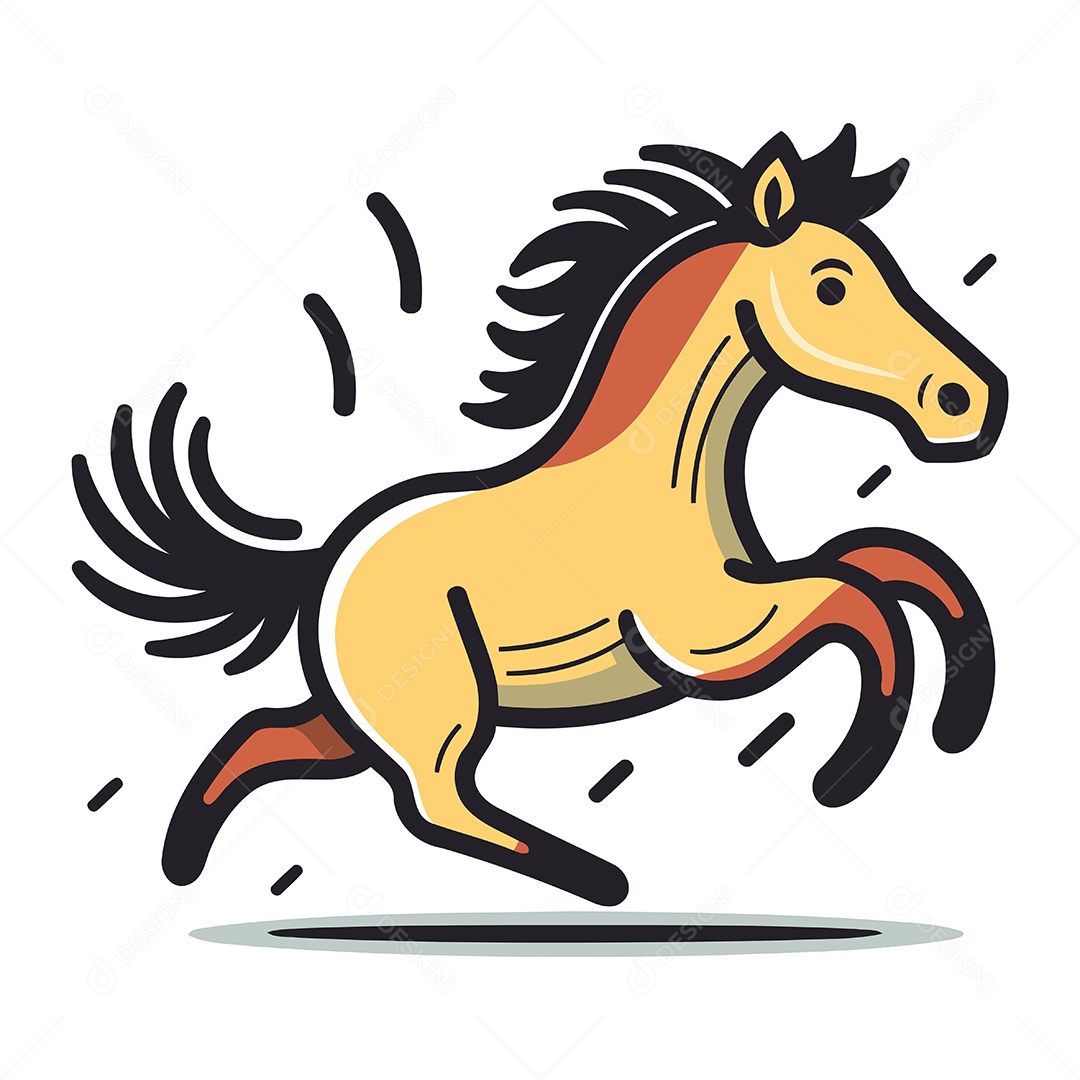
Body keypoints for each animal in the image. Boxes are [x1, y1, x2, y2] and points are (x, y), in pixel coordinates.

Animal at [72, 126, 1008, 906]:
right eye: (831, 284)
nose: (967, 401)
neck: (666, 474)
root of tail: (323, 566)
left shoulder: (744, 594)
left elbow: (891, 560)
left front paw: (959, 713)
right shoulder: (707, 638)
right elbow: (861, 598)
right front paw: (846, 773)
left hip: (362, 716)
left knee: (266, 736)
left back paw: (183, 861)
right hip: (439, 705)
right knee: (432, 802)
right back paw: (597, 877)